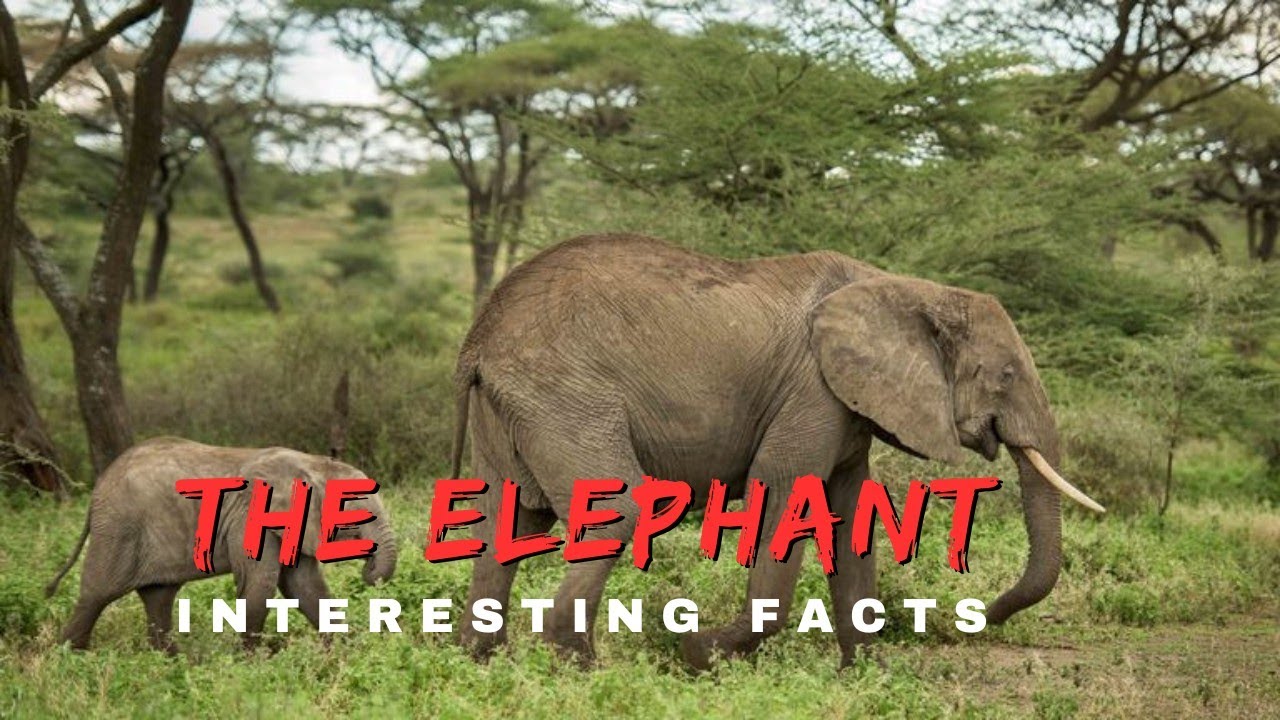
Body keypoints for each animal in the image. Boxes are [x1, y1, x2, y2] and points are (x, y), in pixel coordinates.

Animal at [45, 437, 397, 653]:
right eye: (357, 513)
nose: (369, 571)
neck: (310, 464)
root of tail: (98, 487)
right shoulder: (250, 516)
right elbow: (260, 584)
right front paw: (254, 666)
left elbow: (306, 586)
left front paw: (343, 655)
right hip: (119, 528)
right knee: (96, 595)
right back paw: (67, 661)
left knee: (158, 597)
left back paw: (171, 666)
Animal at [449, 233, 1103, 669]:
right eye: (1007, 375)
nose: (983, 614)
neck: (906, 287)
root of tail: (478, 338)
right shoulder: (812, 391)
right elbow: (789, 494)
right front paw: (695, 652)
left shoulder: (848, 405)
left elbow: (850, 514)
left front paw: (867, 677)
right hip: (563, 395)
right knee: (619, 511)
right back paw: (576, 665)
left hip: (514, 406)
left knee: (509, 520)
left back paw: (482, 660)